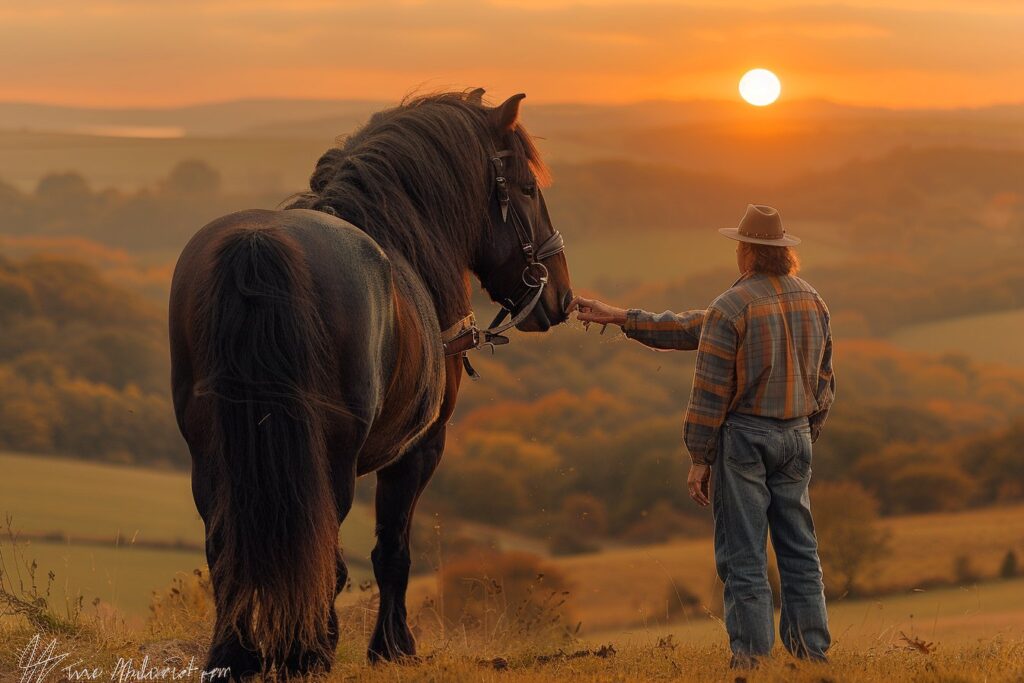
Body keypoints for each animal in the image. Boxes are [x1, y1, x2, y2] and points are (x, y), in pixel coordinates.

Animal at [168, 89, 573, 678]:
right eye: (526, 187)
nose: (561, 295)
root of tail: (257, 246)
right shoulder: (420, 448)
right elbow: (392, 551)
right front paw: (392, 647)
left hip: (210, 452)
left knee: (225, 546)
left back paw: (235, 655)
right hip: (331, 458)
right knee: (321, 549)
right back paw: (308, 653)